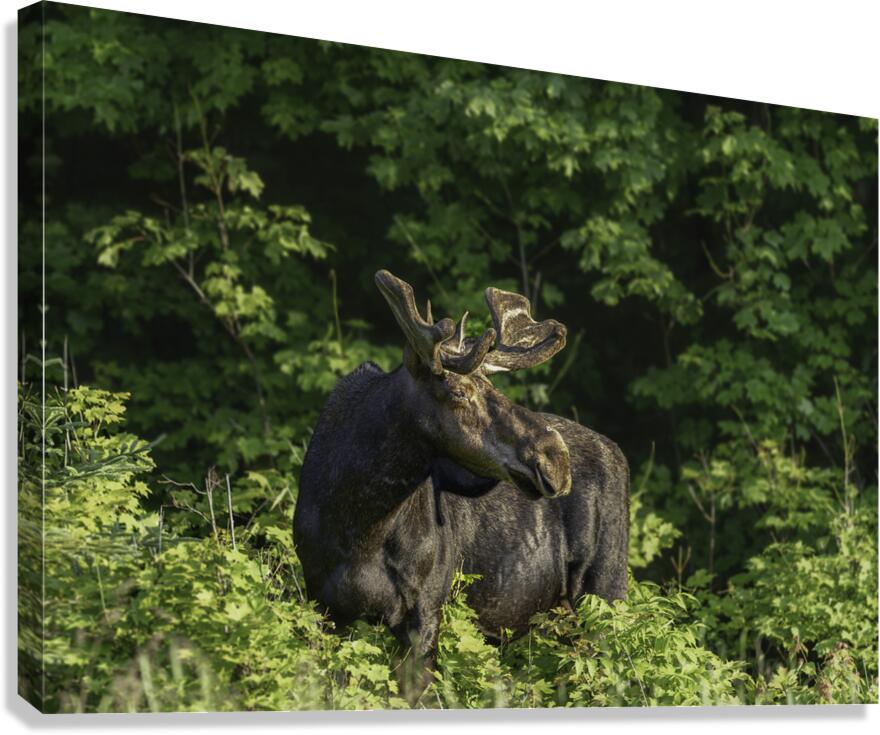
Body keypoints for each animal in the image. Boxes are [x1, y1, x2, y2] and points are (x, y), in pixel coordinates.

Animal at [294, 269, 629, 701]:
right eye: (457, 391)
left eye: (494, 388)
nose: (556, 459)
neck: (361, 524)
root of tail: (618, 453)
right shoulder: (326, 606)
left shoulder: (425, 611)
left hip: (606, 592)